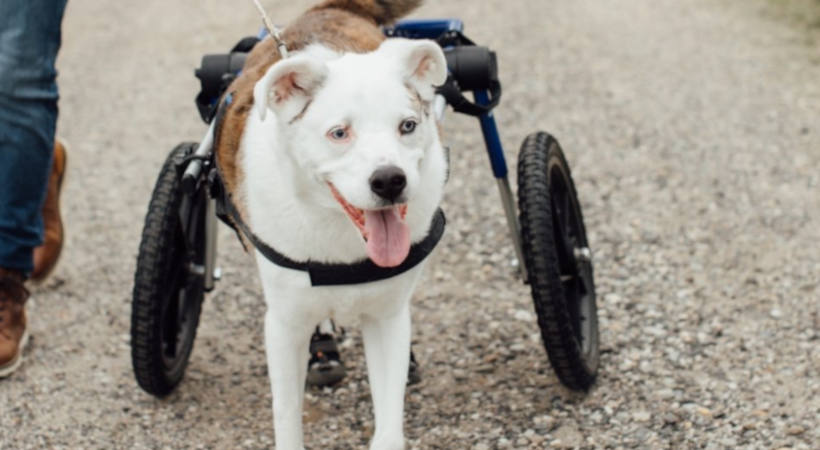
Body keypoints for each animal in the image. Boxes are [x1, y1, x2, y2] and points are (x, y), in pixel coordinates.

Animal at [208, 1, 446, 448]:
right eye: (339, 133)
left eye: (407, 125)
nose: (389, 181)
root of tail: (327, 9)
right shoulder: (284, 325)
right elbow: (286, 413)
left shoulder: (387, 318)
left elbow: (389, 421)